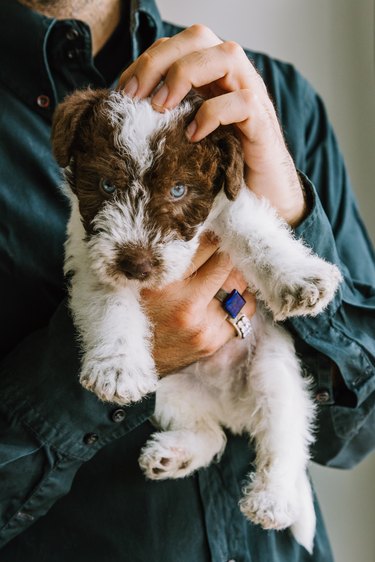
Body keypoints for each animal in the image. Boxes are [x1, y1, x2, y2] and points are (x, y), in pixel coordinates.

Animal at [51, 89, 342, 548]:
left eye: (178, 190)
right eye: (106, 185)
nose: (137, 265)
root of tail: (231, 407)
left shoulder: (230, 204)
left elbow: (259, 234)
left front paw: (299, 277)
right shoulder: (90, 256)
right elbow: (112, 304)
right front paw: (117, 368)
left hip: (275, 375)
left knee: (285, 441)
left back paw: (273, 500)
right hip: (170, 392)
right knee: (212, 434)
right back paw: (171, 456)